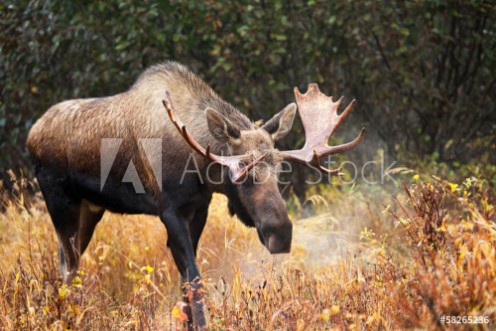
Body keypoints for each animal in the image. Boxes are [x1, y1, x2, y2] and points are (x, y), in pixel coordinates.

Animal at [26, 61, 364, 330]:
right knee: (69, 266)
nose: (280, 232)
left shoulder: (198, 208)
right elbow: (195, 279)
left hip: (90, 208)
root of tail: (32, 133)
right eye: (241, 173)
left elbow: (185, 283)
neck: (198, 166)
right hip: (60, 200)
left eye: (280, 170)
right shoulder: (169, 211)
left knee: (65, 260)